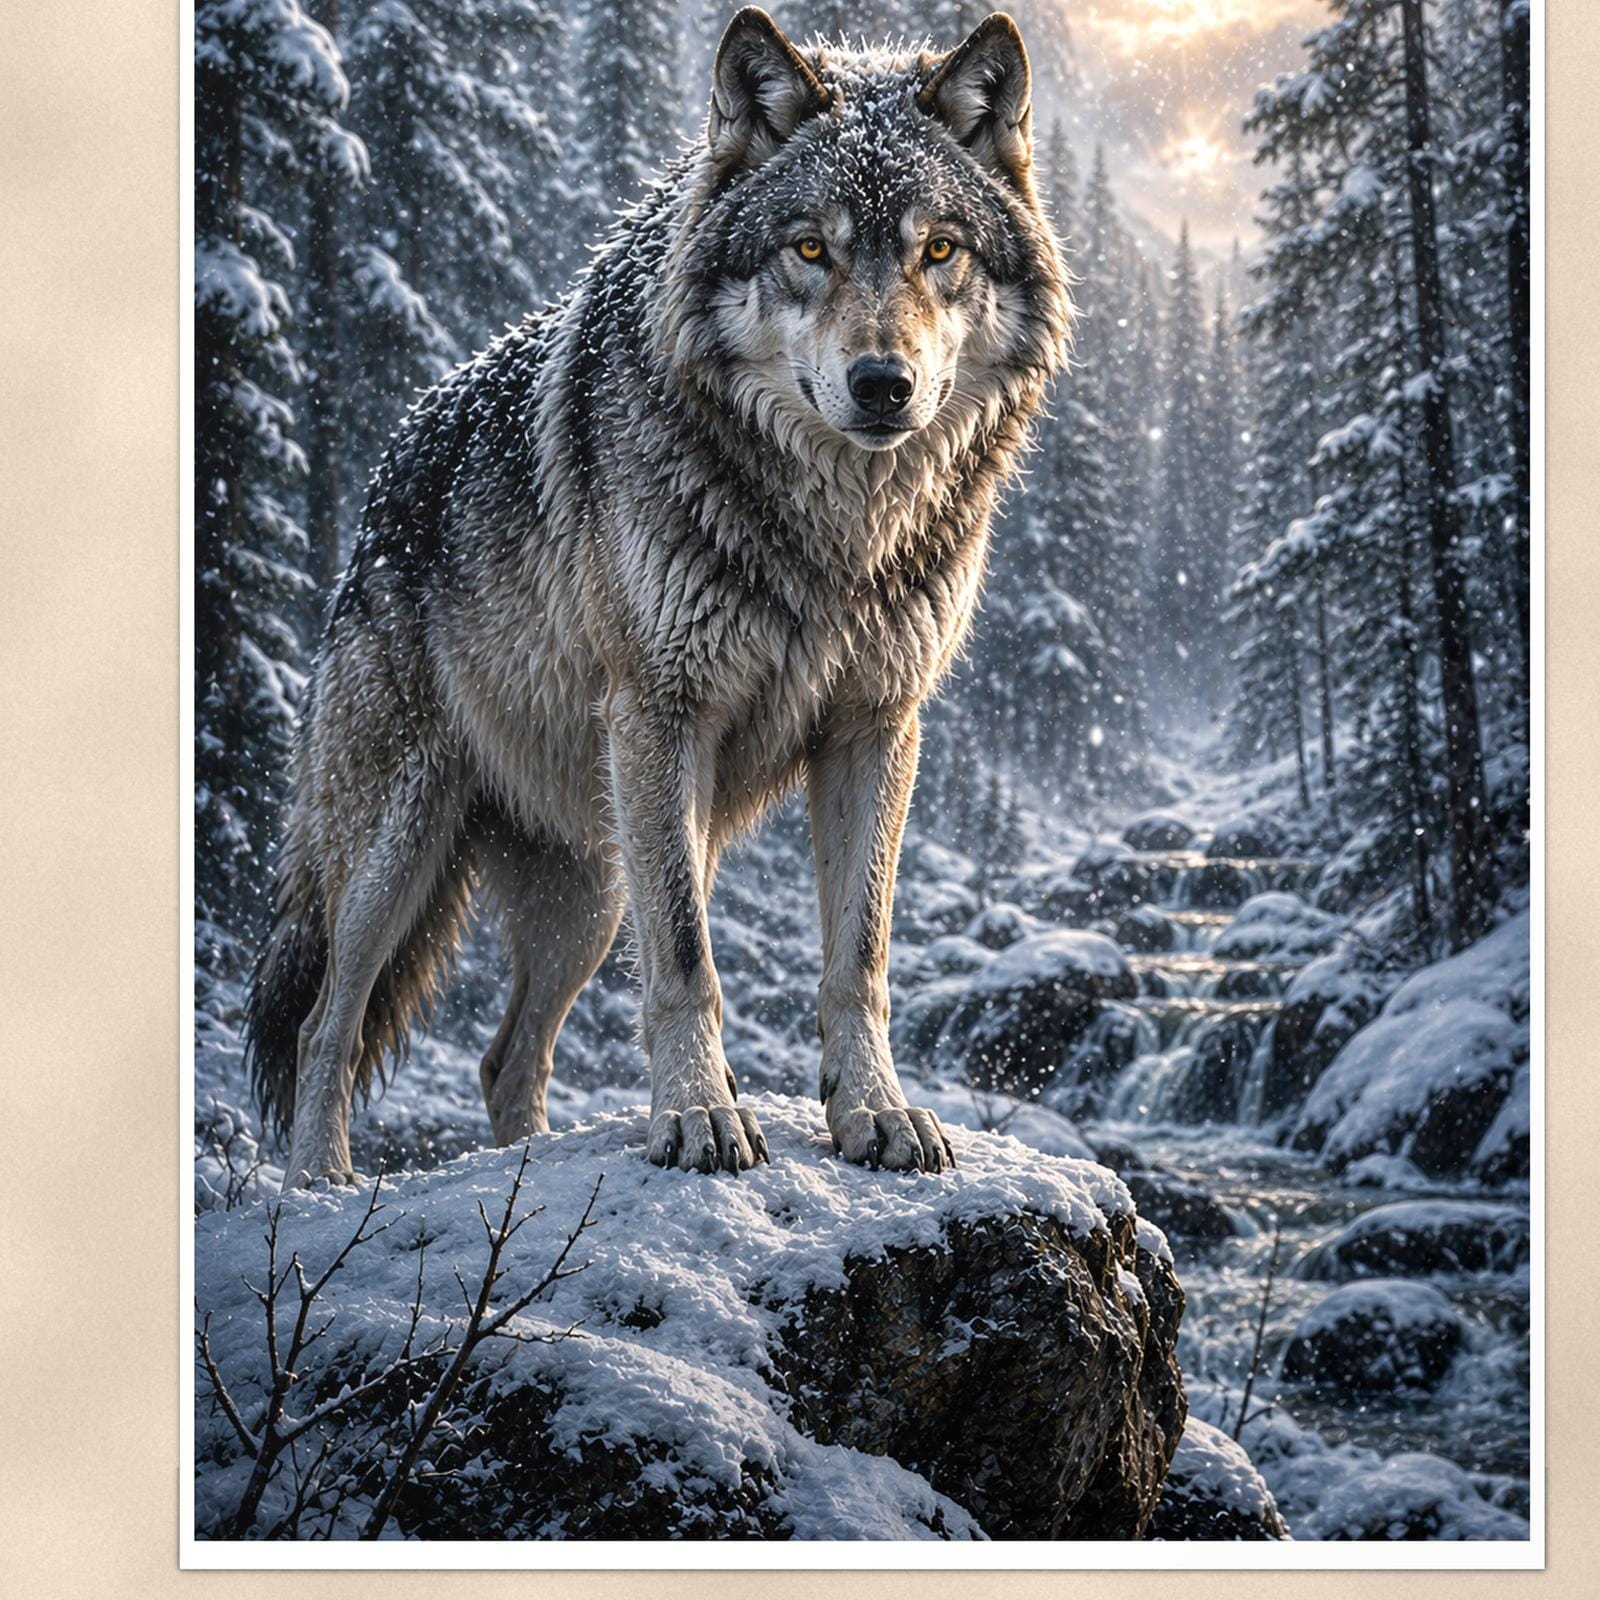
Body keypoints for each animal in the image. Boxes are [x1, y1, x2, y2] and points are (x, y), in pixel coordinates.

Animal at [246, 8, 1072, 1189]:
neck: (836, 532)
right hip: (405, 843)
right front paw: (697, 1119)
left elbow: (859, 956)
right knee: (329, 1021)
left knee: (506, 1055)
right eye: (808, 249)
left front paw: (874, 1112)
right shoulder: (661, 715)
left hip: (596, 880)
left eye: (939, 250)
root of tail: (383, 474)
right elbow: (688, 958)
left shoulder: (876, 726)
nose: (884, 385)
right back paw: (321, 1184)